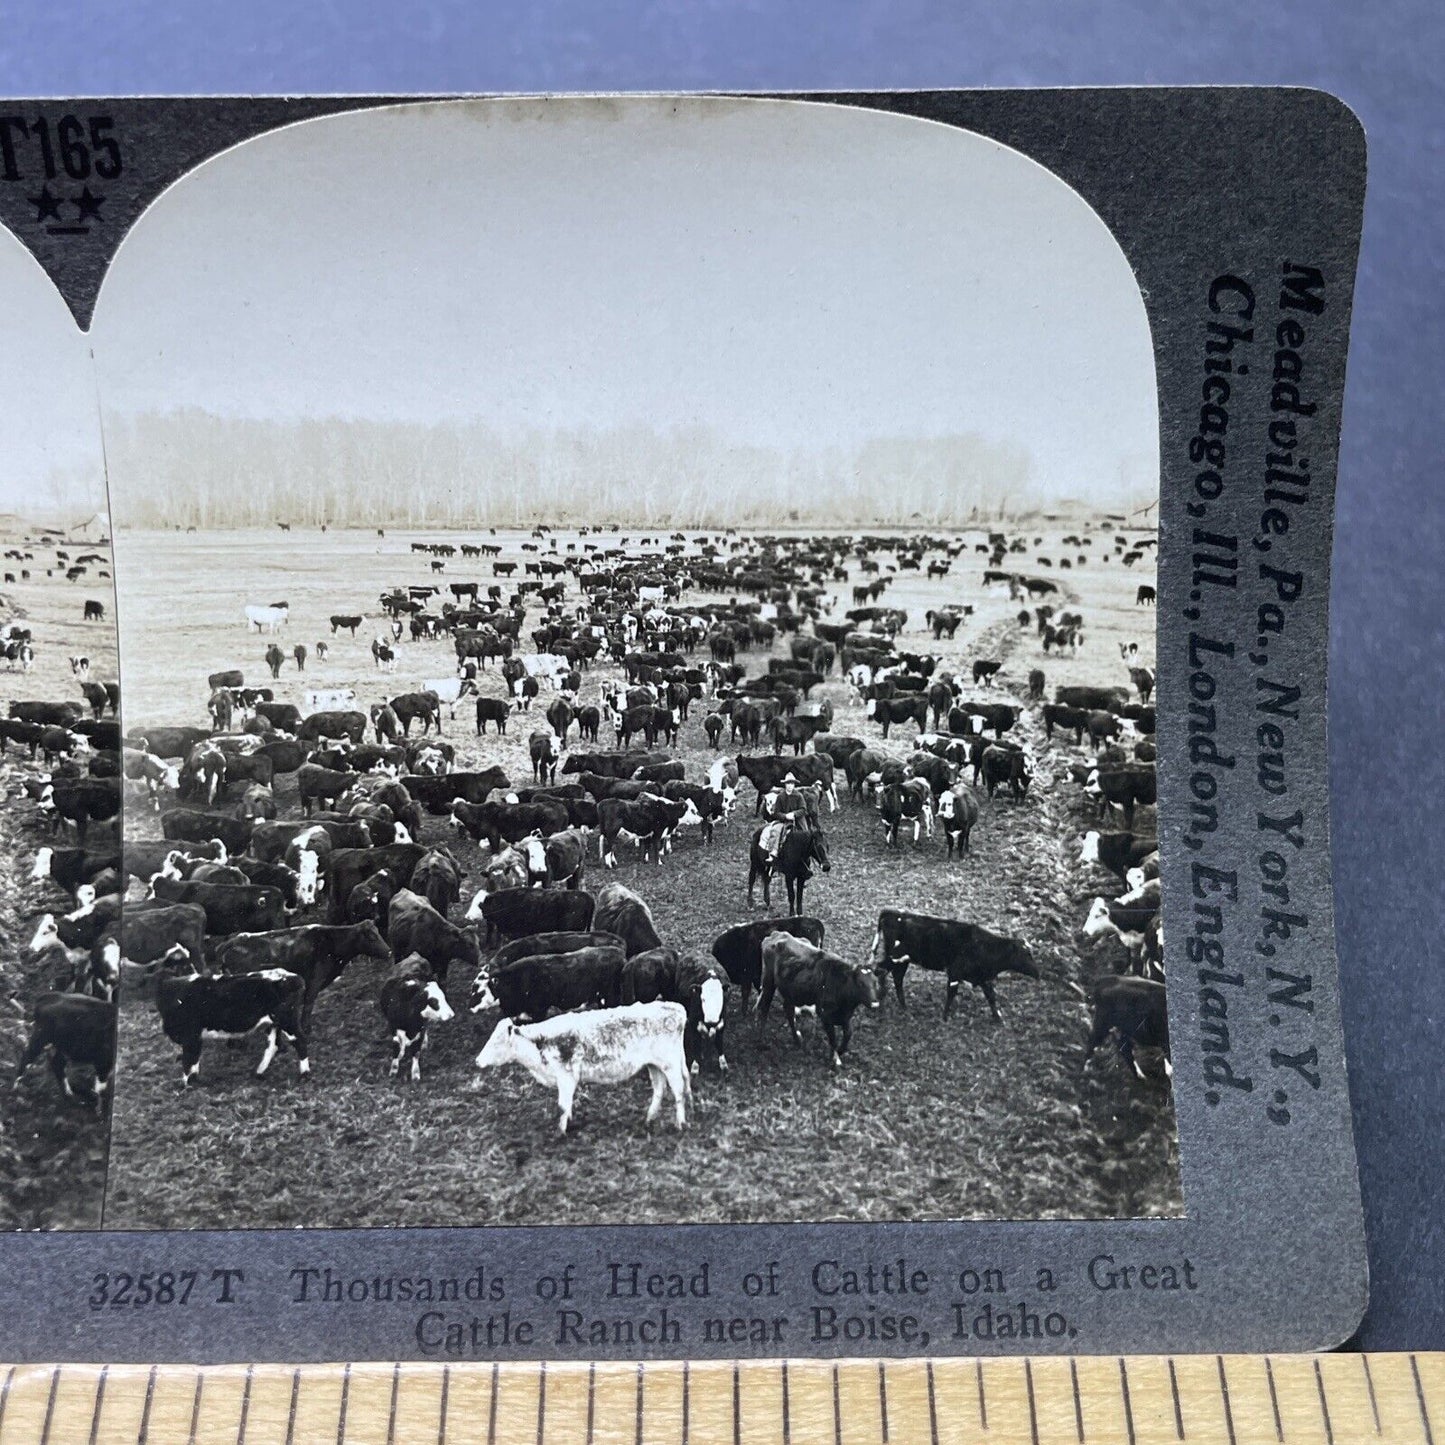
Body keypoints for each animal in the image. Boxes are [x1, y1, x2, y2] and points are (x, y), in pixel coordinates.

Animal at [476, 999, 690, 1132]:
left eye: (496, 1042)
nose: (477, 1060)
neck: (540, 1043)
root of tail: (674, 1007)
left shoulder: (566, 1077)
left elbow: (562, 1105)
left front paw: (561, 1132)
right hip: (654, 1064)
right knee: (659, 1089)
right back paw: (649, 1119)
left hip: (670, 1064)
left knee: (678, 1090)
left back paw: (680, 1123)